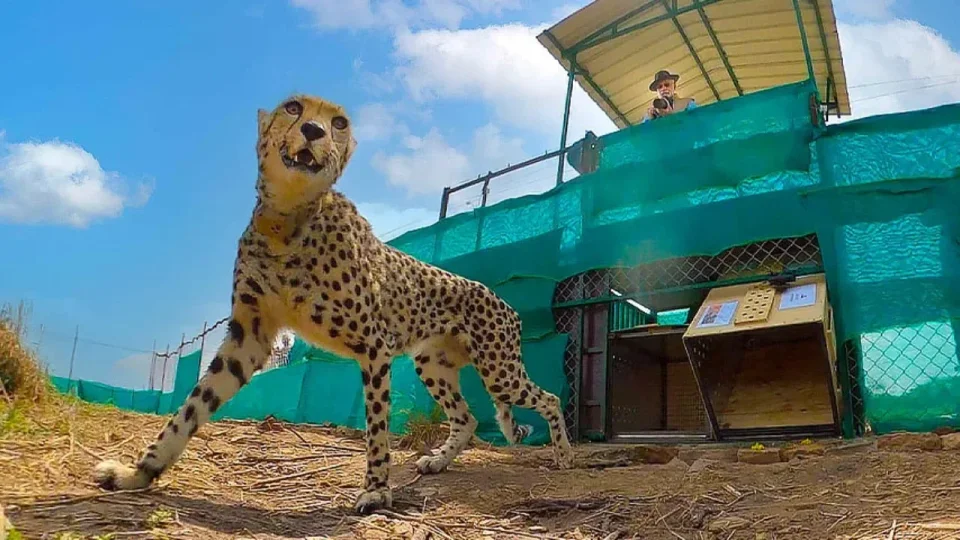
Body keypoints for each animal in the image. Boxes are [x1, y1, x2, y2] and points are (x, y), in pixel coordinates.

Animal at [92, 93, 575, 515]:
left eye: (339, 122)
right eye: (293, 107)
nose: (313, 130)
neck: (287, 219)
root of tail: (502, 299)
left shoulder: (374, 346)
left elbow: (377, 426)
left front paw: (377, 492)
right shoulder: (250, 337)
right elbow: (190, 409)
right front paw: (138, 473)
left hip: (498, 371)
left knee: (549, 397)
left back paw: (564, 456)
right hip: (433, 364)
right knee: (469, 418)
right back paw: (438, 460)